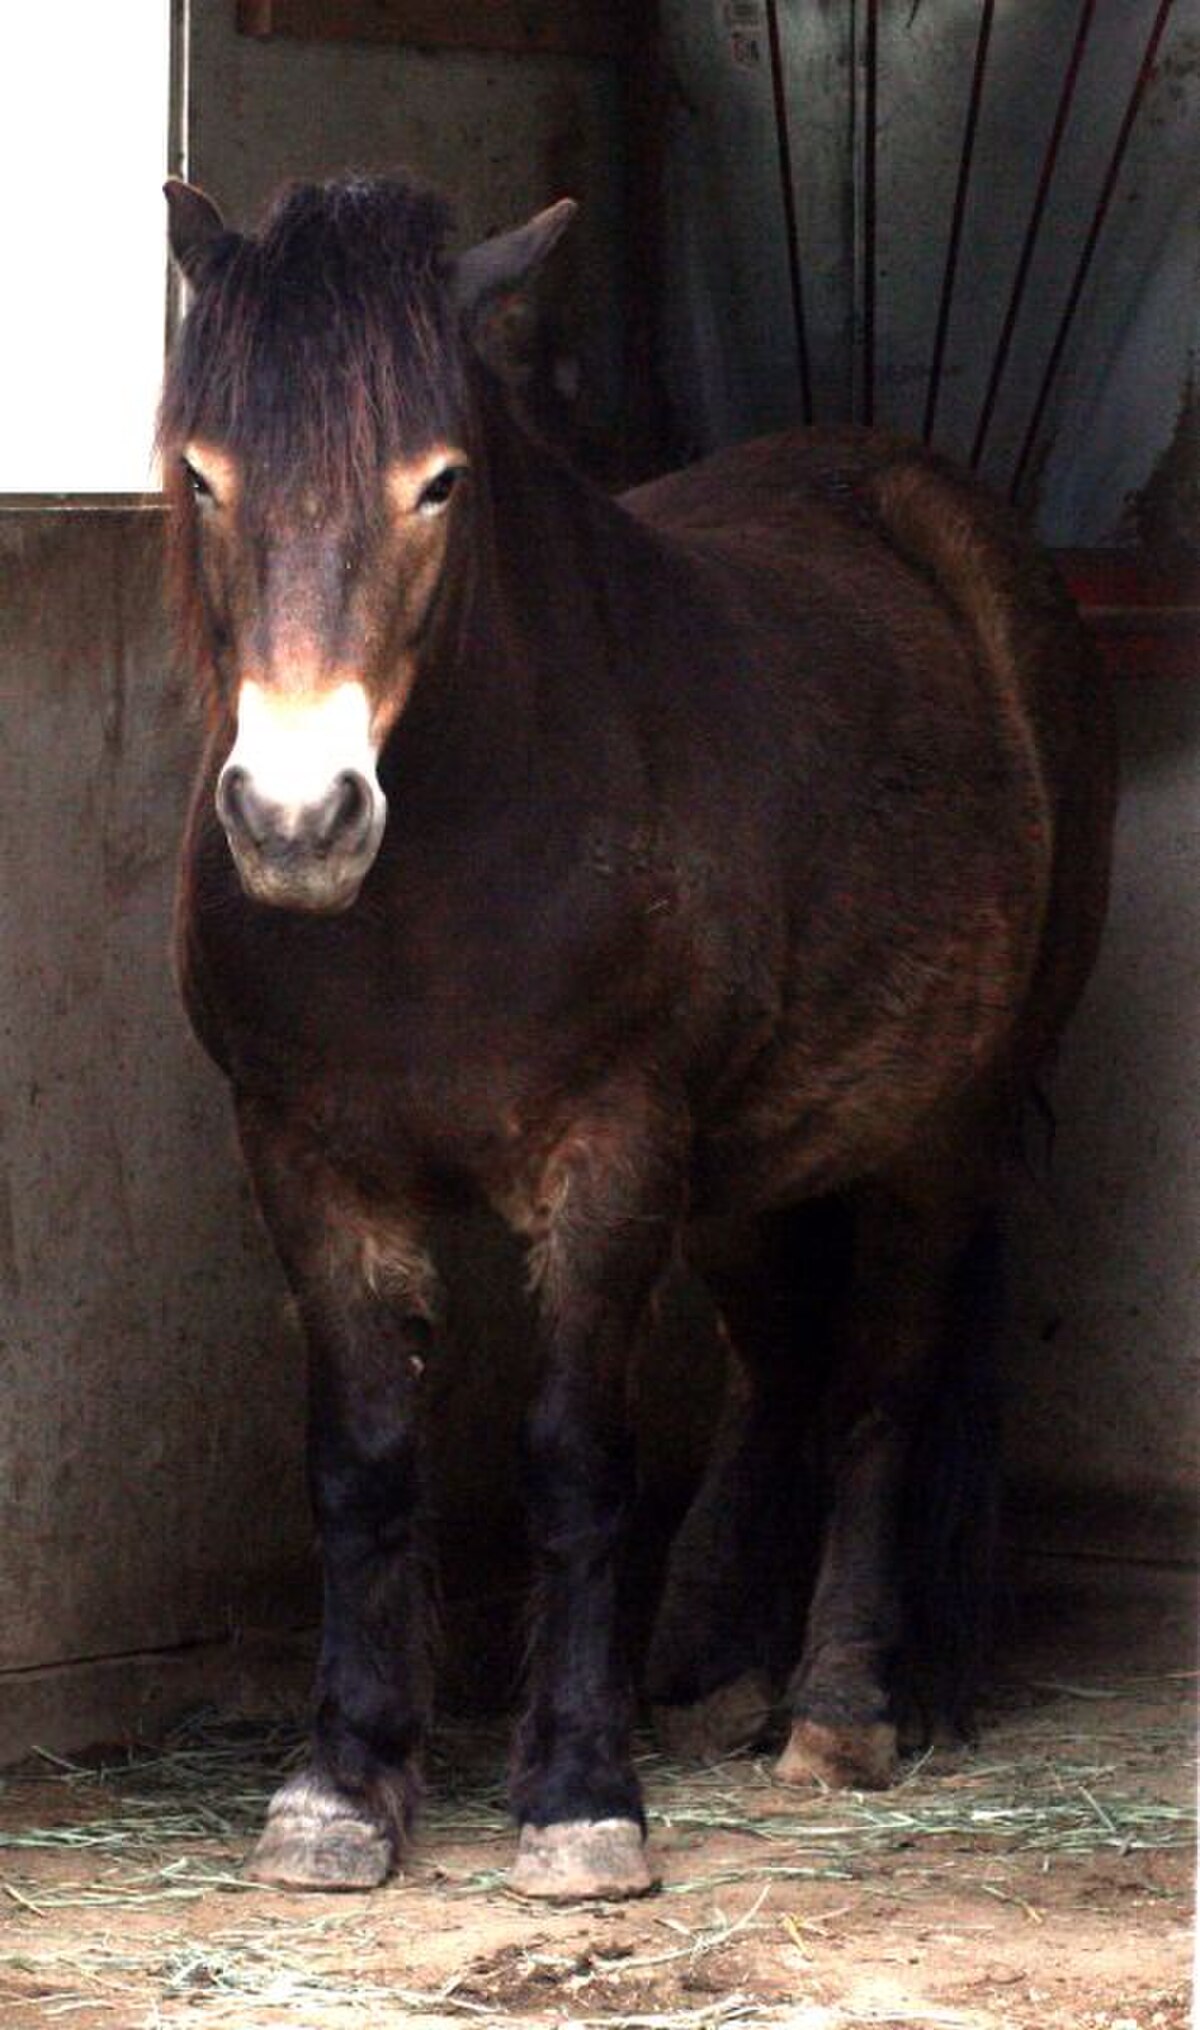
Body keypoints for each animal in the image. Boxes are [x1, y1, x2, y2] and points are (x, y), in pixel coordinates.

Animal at [159, 171, 1114, 1901]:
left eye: (441, 483)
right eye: (205, 474)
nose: (298, 818)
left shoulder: (609, 1160)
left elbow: (572, 1458)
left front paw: (578, 1794)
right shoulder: (305, 1158)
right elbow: (364, 1455)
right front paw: (344, 1787)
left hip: (939, 1134)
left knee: (878, 1389)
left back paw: (841, 1704)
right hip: (750, 1162)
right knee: (783, 1365)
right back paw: (715, 1668)